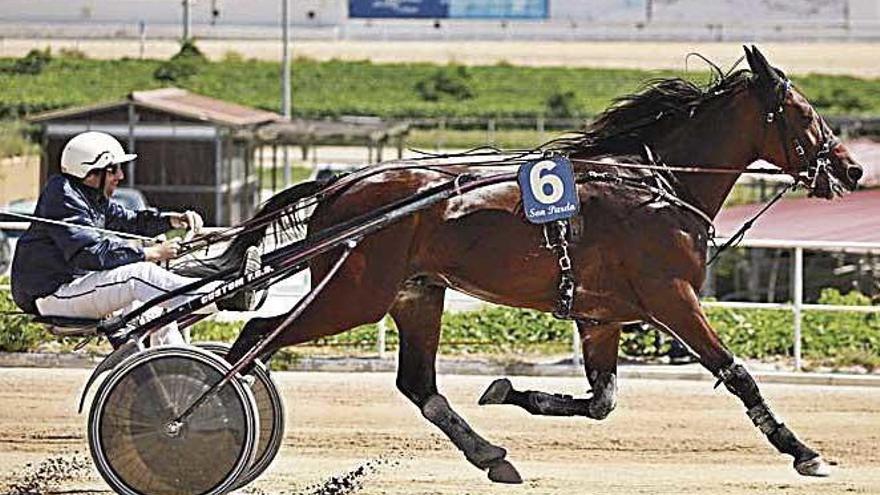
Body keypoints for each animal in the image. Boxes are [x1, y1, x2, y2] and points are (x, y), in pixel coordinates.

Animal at [215, 47, 868, 484]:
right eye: (804, 112)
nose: (852, 168)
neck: (656, 184)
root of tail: (341, 184)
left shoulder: (601, 317)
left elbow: (601, 401)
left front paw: (509, 390)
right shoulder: (671, 296)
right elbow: (736, 374)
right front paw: (803, 452)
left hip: (416, 294)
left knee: (418, 385)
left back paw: (491, 456)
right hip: (354, 295)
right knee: (253, 339)